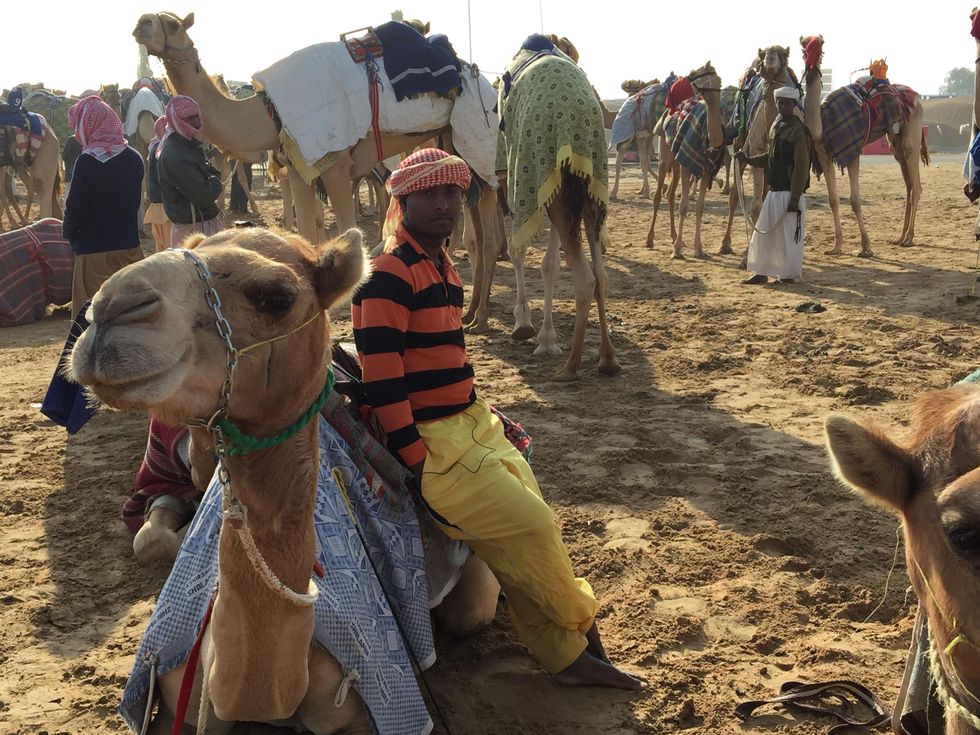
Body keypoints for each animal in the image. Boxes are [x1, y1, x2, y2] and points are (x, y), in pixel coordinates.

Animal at [644, 63, 724, 259]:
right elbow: (684, 206)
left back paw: (673, 236)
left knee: (670, 195)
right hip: (666, 158)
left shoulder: (705, 169)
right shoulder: (689, 166)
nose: (686, 77)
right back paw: (650, 239)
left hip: (677, 163)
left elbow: (699, 207)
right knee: (659, 196)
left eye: (695, 73)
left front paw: (698, 248)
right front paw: (677, 249)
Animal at [800, 36, 928, 257]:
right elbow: (833, 199)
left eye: (819, 46)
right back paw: (900, 237)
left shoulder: (851, 151)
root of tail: (916, 97)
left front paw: (866, 247)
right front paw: (836, 247)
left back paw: (909, 238)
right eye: (804, 47)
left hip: (912, 129)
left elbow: (854, 200)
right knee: (909, 185)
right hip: (895, 143)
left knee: (917, 183)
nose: (810, 61)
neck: (823, 121)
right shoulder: (824, 153)